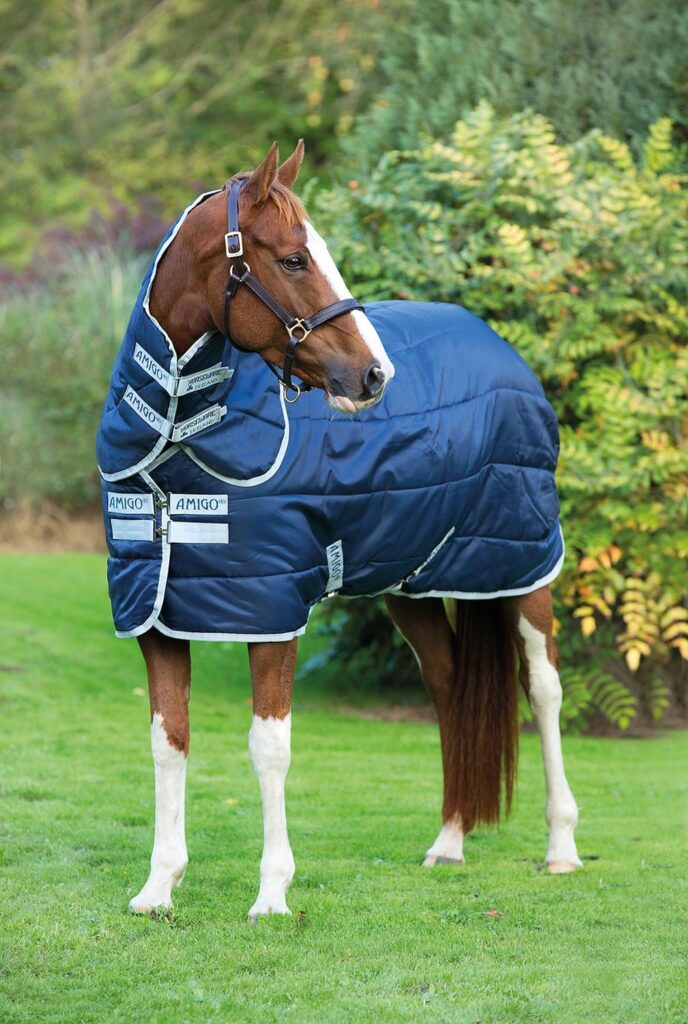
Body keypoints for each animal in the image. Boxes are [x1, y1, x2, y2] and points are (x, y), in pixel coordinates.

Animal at [97, 141, 581, 921]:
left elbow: (269, 748)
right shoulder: (157, 614)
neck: (177, 441)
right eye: (295, 259)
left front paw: (271, 894)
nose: (375, 375)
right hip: (412, 584)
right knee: (448, 684)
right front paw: (158, 887)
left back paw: (561, 846)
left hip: (521, 567)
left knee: (543, 689)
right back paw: (449, 842)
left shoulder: (271, 612)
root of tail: (503, 351)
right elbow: (169, 741)